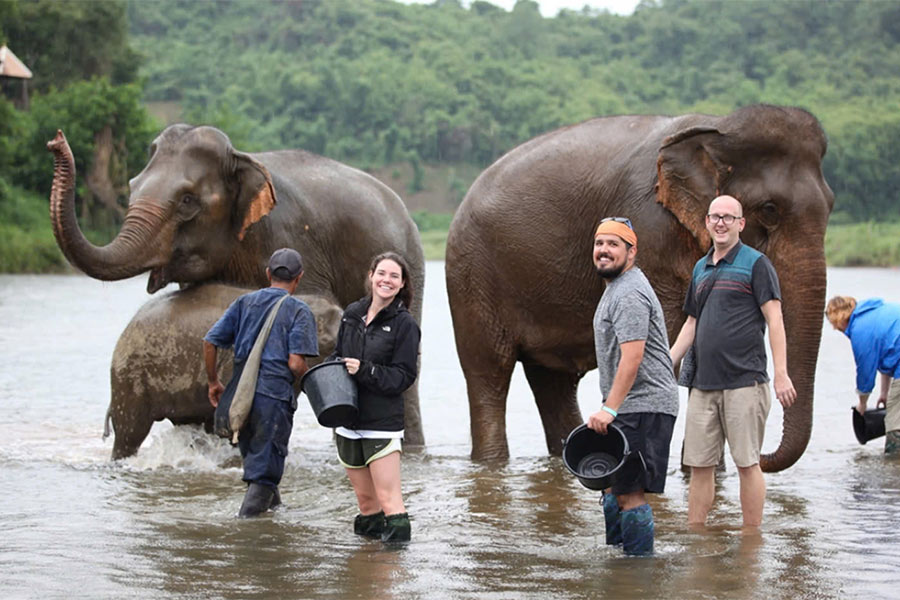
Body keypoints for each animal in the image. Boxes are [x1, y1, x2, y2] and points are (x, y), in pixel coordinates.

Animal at [47, 125, 428, 446]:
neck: (240, 158)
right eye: (131, 186)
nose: (56, 140)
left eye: (187, 200)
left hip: (412, 266)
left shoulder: (292, 239)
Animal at [450, 104, 836, 474]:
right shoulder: (650, 229)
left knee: (554, 382)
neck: (718, 126)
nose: (764, 456)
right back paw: (492, 462)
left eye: (831, 206)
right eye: (769, 209)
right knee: (489, 372)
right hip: (472, 275)